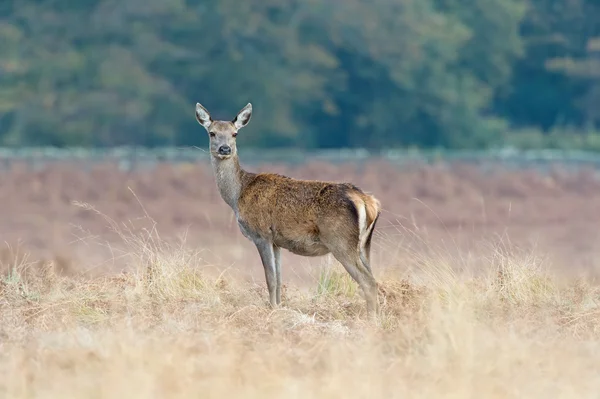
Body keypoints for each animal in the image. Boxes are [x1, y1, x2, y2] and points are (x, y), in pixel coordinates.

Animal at [197, 103, 384, 318]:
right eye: (212, 133)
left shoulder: (261, 234)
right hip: (364, 244)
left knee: (368, 282)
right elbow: (279, 280)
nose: (225, 149)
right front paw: (279, 308)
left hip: (340, 240)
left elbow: (270, 279)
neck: (237, 195)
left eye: (235, 133)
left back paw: (371, 320)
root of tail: (367, 201)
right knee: (373, 278)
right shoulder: (277, 241)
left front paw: (271, 311)